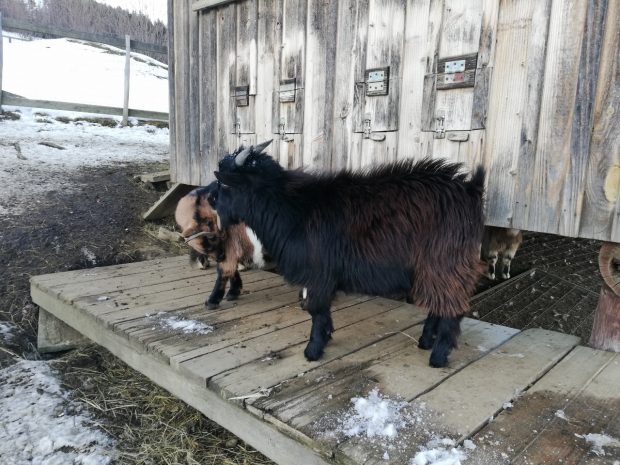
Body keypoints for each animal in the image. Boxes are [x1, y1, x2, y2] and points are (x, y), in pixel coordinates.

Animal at [216, 141, 486, 366]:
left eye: (225, 184)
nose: (216, 209)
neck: (292, 208)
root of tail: (470, 190)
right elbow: (322, 312)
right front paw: (325, 338)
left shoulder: (318, 275)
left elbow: (316, 310)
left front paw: (313, 350)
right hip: (437, 268)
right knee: (440, 304)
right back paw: (426, 341)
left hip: (445, 263)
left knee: (453, 309)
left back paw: (438, 356)